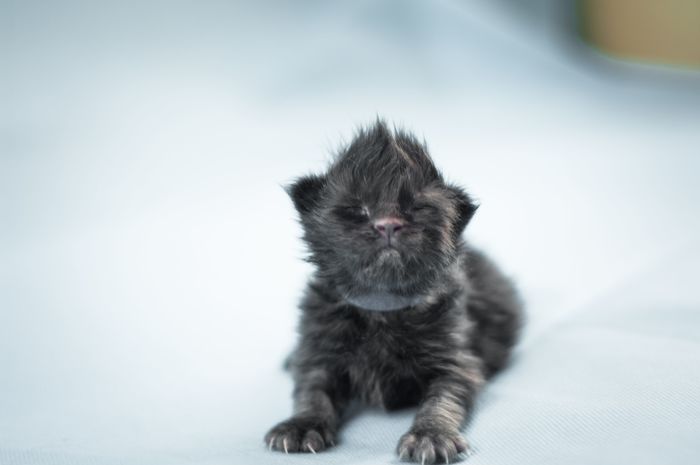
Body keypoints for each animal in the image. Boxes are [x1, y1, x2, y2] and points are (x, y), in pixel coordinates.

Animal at [266, 119, 524, 460]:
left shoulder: (456, 362)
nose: (388, 224)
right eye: (358, 209)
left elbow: (442, 399)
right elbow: (312, 390)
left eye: (416, 207)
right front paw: (301, 425)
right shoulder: (321, 350)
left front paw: (430, 435)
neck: (382, 309)